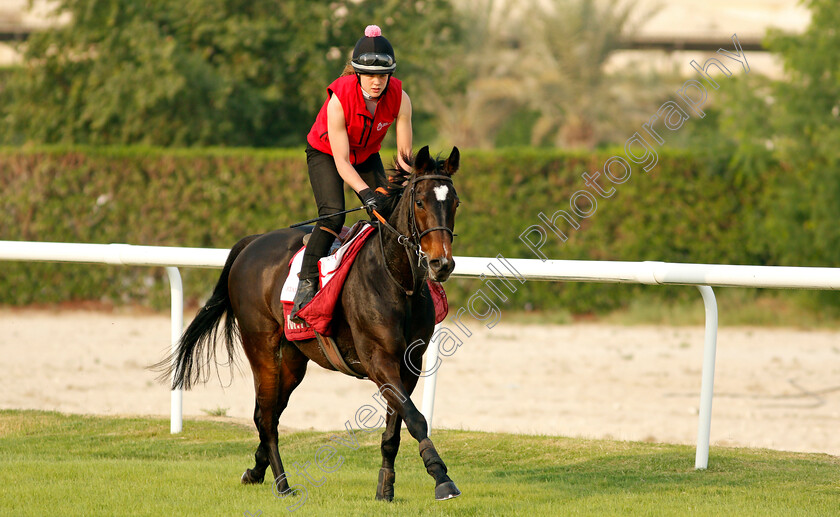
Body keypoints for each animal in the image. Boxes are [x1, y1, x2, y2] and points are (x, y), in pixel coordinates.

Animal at [158, 144, 460, 500]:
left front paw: (385, 486)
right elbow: (415, 417)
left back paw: (256, 470)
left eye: (454, 203)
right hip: (262, 349)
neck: (397, 280)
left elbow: (394, 429)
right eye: (420, 202)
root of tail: (252, 242)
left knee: (269, 412)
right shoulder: (379, 360)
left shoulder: (408, 363)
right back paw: (282, 484)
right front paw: (441, 477)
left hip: (292, 360)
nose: (441, 264)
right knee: (267, 419)